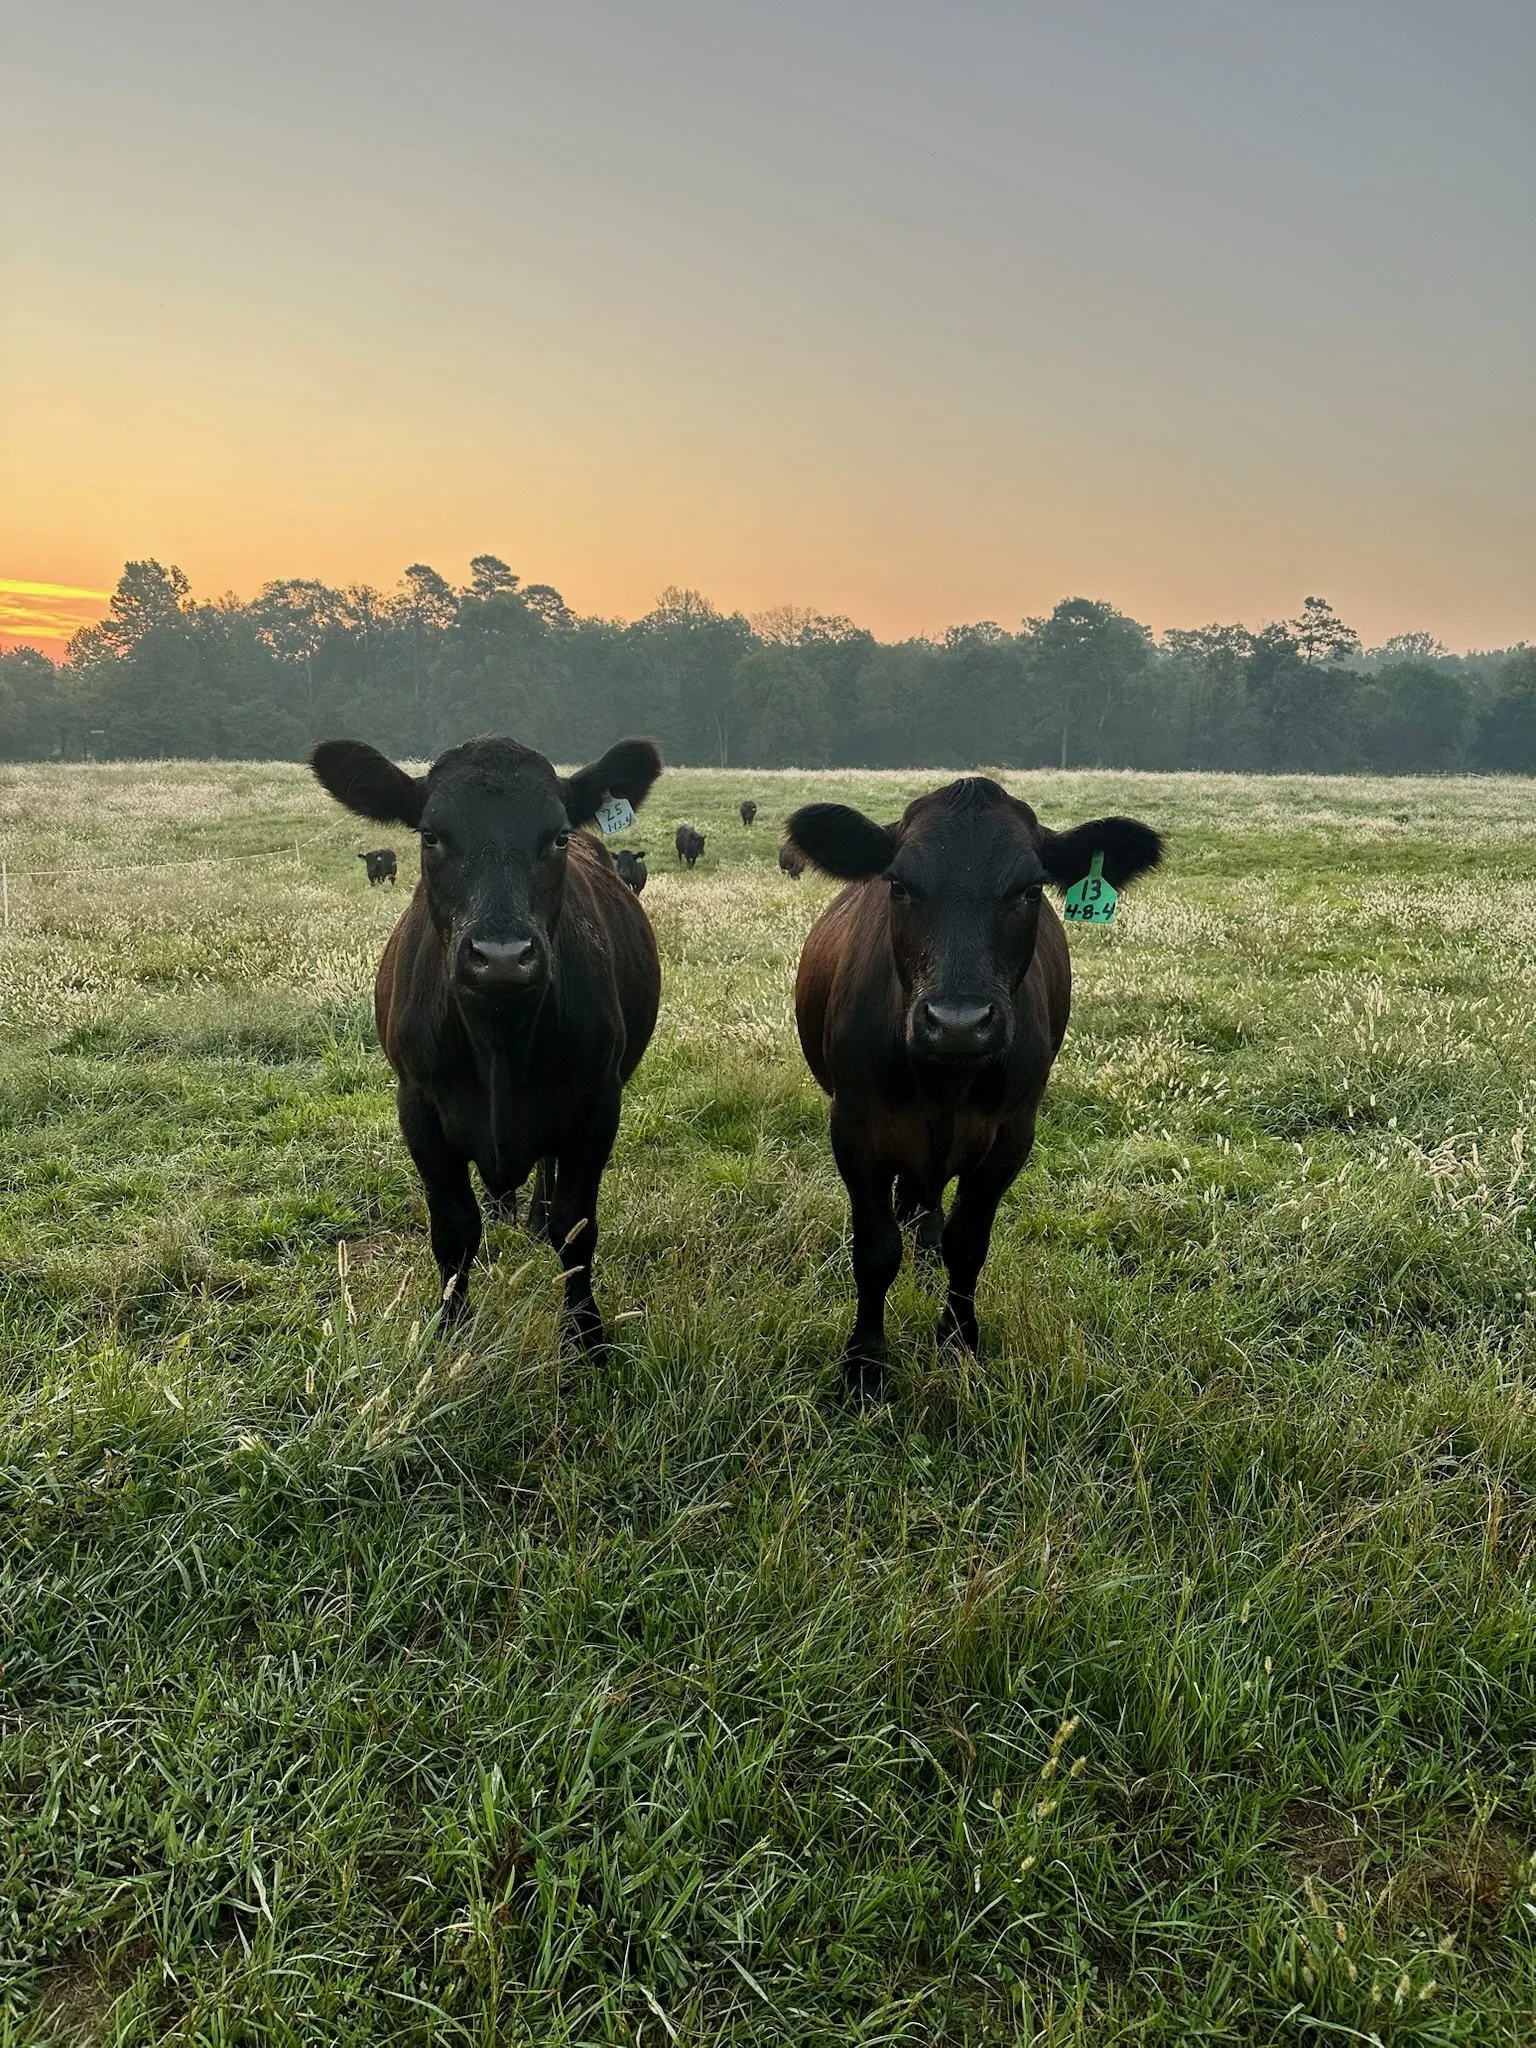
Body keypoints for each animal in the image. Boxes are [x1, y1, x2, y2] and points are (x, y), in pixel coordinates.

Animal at [310, 733, 663, 1354]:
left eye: (558, 835)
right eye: (431, 834)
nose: (500, 955)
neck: (499, 1039)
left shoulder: (597, 1102)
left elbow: (577, 1228)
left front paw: (585, 1338)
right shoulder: (418, 1105)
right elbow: (454, 1227)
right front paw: (450, 1331)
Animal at [786, 777, 1161, 1398]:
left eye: (1030, 890)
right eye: (898, 884)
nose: (958, 1021)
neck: (945, 1081)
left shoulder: (1010, 1136)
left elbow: (968, 1245)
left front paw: (959, 1342)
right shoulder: (854, 1128)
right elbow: (875, 1250)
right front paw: (864, 1364)